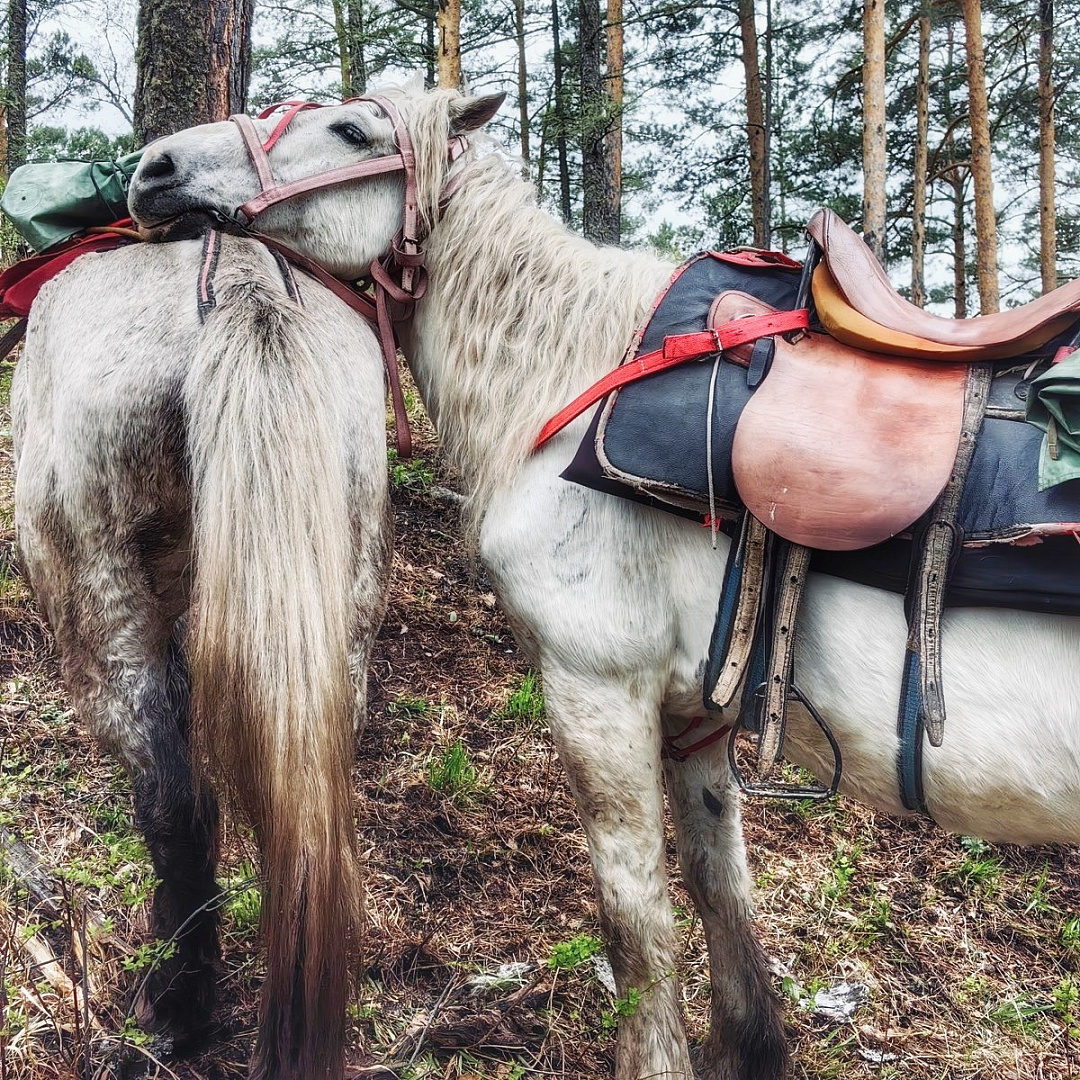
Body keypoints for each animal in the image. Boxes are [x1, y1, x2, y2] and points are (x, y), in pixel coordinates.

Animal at [126, 87, 1080, 1080]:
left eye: (351, 130)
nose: (154, 168)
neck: (573, 372)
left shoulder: (597, 690)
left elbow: (635, 919)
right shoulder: (700, 714)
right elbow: (718, 885)